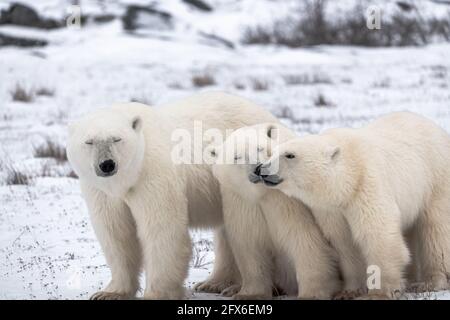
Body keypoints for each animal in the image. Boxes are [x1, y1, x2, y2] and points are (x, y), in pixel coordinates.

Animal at [67, 91, 282, 298]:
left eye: (117, 139)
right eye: (89, 142)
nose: (107, 164)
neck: (127, 179)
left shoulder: (152, 174)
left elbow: (162, 228)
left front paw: (156, 294)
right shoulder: (101, 191)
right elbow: (115, 233)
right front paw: (109, 293)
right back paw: (214, 283)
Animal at [211, 123, 342, 300]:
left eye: (259, 148)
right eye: (237, 157)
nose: (257, 168)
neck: (262, 193)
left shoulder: (286, 202)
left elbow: (304, 239)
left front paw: (312, 294)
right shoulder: (241, 202)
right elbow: (250, 245)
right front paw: (250, 294)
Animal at [256, 112, 450, 298]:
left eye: (290, 155)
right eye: (273, 153)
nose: (261, 169)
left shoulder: (367, 186)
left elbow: (378, 235)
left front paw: (379, 293)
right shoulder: (331, 210)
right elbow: (345, 244)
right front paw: (349, 291)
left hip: (435, 178)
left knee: (436, 229)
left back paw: (431, 282)